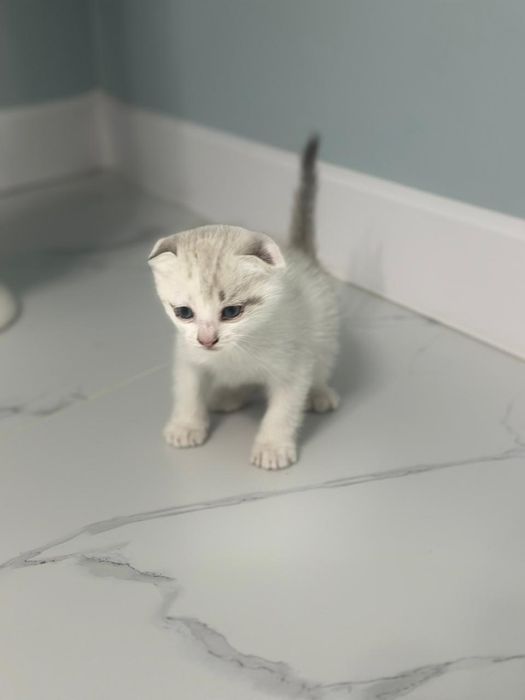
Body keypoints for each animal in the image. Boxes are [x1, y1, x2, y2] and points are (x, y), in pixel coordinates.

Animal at [148, 136, 339, 469]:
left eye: (232, 311)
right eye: (184, 312)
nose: (207, 340)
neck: (239, 351)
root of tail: (301, 253)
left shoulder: (294, 364)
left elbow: (283, 410)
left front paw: (273, 447)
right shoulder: (187, 354)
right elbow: (187, 390)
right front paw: (185, 425)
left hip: (324, 332)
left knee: (322, 364)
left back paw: (319, 393)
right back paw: (227, 395)